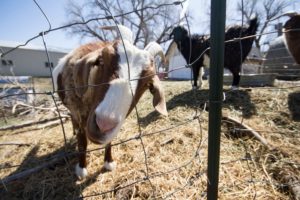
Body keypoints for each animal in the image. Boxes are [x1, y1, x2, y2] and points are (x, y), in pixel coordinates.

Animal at [52, 25, 168, 179]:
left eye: (147, 83)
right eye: (101, 61)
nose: (103, 125)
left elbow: (109, 141)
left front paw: (108, 162)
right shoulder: (78, 112)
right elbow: (82, 142)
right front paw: (81, 169)